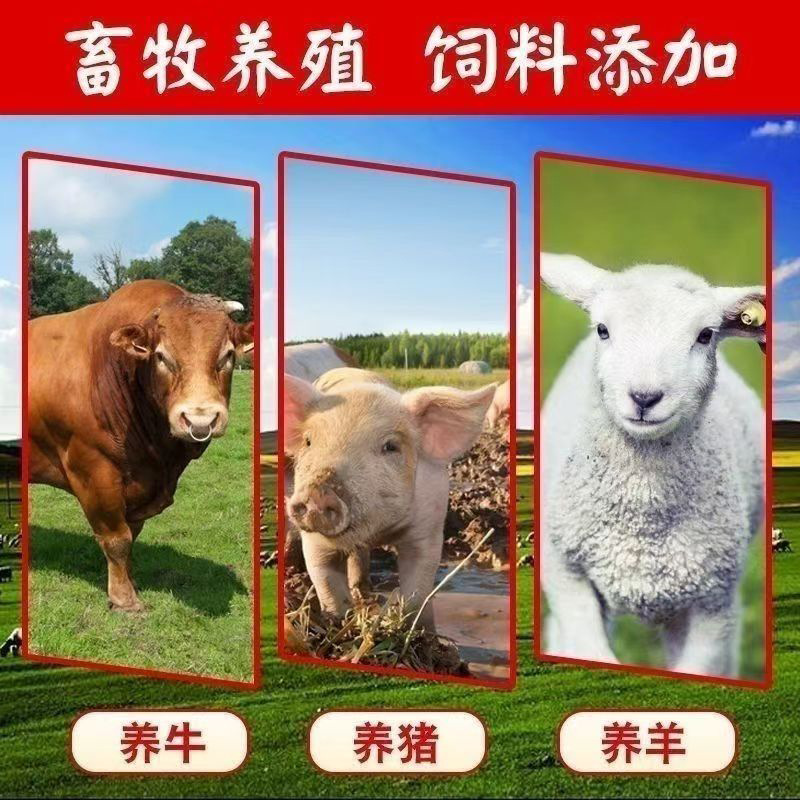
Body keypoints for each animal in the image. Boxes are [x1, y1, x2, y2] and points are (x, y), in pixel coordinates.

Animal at [28, 280, 254, 612]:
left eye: (227, 355)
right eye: (161, 356)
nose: (199, 419)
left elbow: (132, 535)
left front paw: (131, 583)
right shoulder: (92, 468)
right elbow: (117, 539)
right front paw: (124, 599)